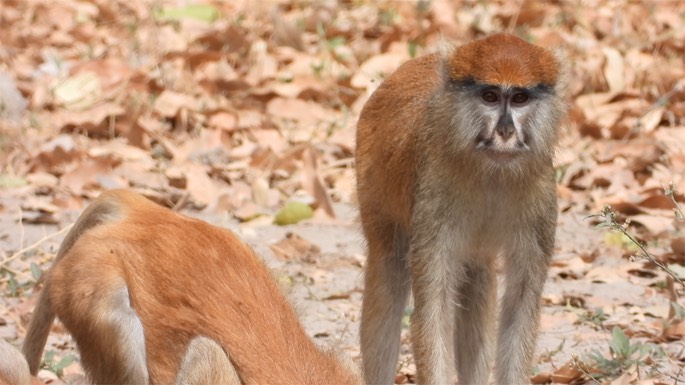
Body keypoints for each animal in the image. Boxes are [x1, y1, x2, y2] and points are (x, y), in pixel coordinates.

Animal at [356, 33, 564, 384]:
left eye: (520, 98)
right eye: (490, 97)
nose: (505, 132)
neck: (491, 174)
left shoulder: (541, 201)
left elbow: (520, 305)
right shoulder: (433, 202)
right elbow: (433, 310)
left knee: (477, 276)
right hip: (373, 187)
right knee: (387, 277)